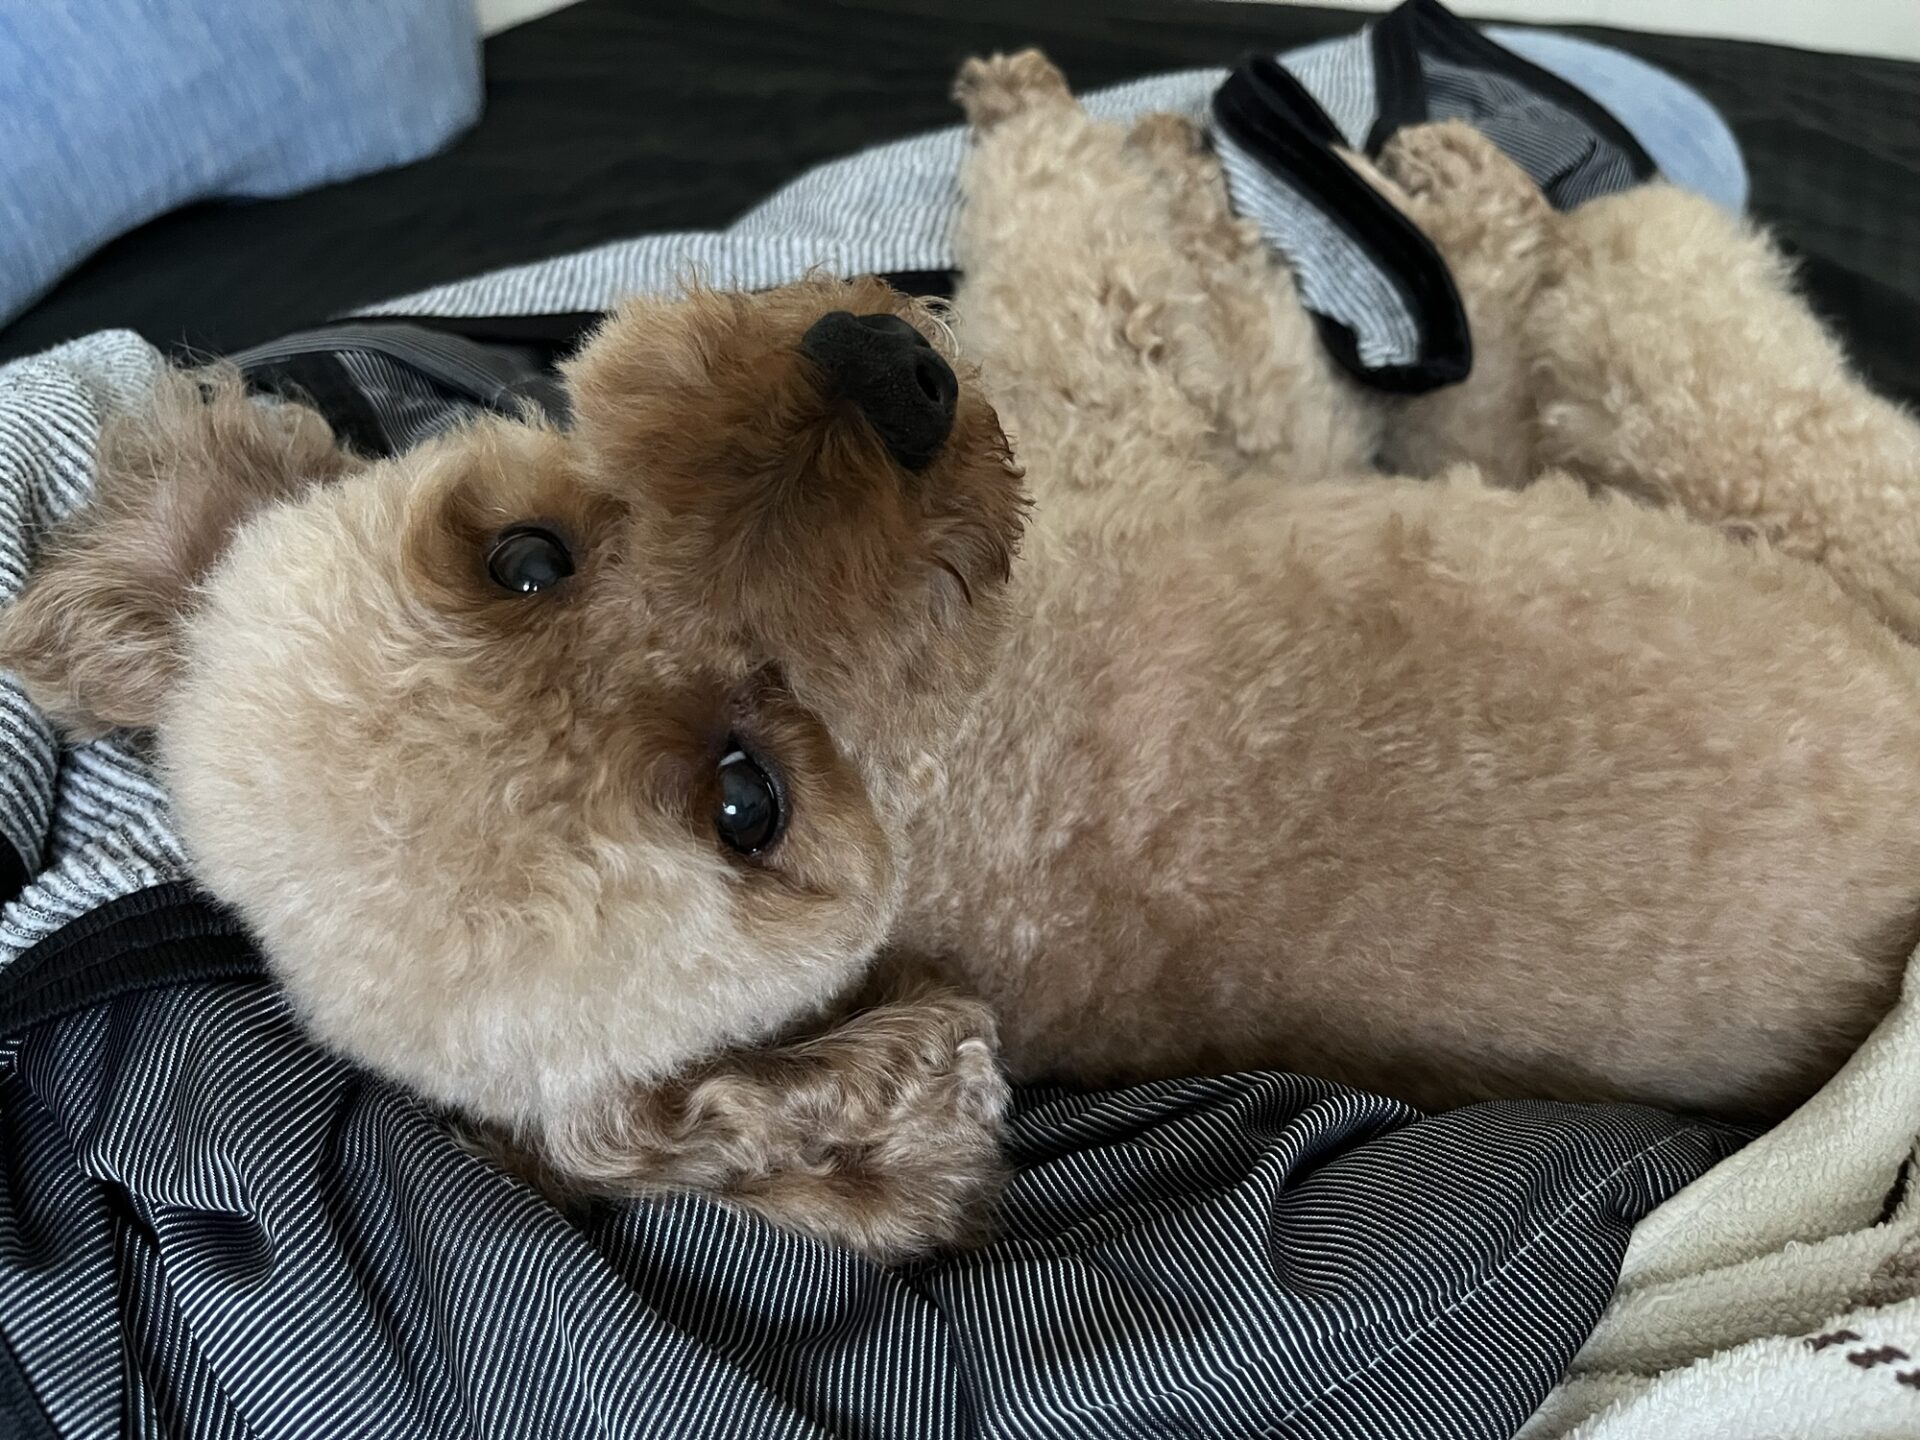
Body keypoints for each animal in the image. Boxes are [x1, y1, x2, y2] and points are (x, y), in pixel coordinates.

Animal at [7, 51, 1920, 1261]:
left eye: (523, 560)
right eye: (748, 803)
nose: (887, 376)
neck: (919, 742)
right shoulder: (1151, 417)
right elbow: (1121, 265)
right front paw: (1082, 131)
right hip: (1772, 448)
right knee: (1625, 291)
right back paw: (1473, 182)